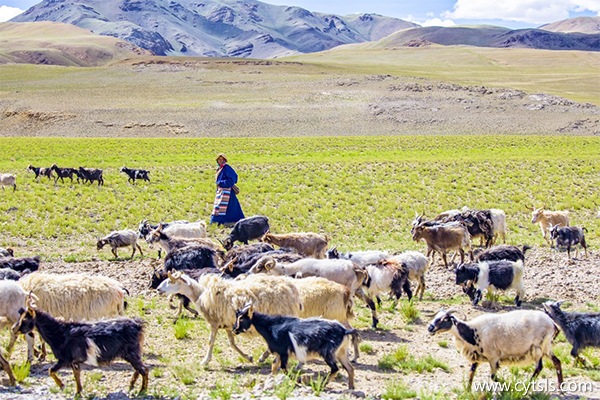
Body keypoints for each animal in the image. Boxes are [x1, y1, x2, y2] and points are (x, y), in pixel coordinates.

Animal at [12, 296, 148, 396]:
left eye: (24, 320)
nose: (14, 329)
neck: (60, 333)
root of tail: (138, 324)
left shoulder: (64, 359)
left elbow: (51, 370)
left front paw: (62, 385)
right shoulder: (74, 361)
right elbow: (76, 375)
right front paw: (78, 392)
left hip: (131, 352)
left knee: (144, 369)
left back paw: (142, 390)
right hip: (132, 353)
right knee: (139, 369)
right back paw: (131, 385)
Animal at [157, 272, 302, 366]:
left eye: (171, 281)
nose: (158, 289)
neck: (201, 296)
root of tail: (292, 288)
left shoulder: (214, 322)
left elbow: (210, 342)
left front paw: (205, 361)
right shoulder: (227, 325)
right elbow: (232, 343)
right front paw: (248, 357)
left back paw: (268, 357)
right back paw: (264, 357)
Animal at [426, 308, 564, 390]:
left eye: (444, 319)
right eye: (436, 316)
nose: (430, 328)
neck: (472, 332)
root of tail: (552, 323)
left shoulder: (493, 357)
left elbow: (493, 377)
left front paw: (509, 386)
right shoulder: (477, 356)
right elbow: (471, 373)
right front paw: (468, 390)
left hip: (538, 347)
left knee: (539, 367)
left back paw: (526, 386)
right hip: (546, 348)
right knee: (557, 362)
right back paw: (560, 387)